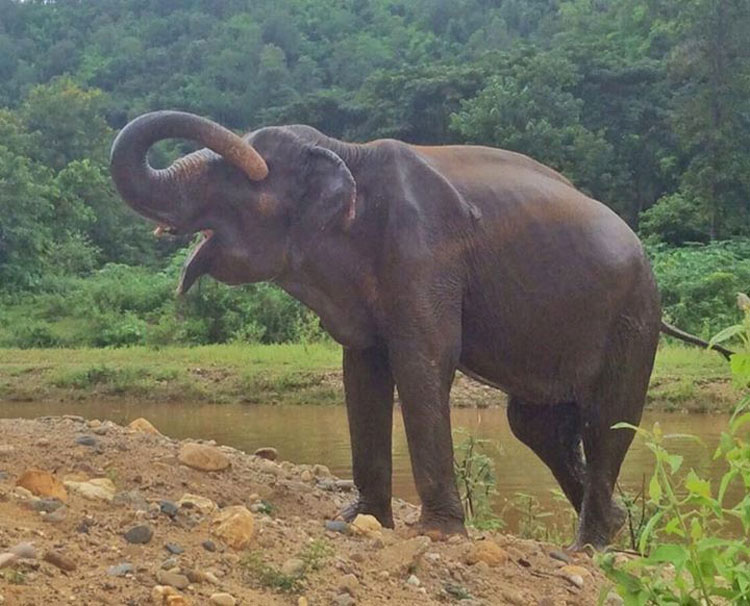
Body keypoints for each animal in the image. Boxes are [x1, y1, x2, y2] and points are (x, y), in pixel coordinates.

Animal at [108, 110, 732, 552]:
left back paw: (590, 549)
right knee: (536, 426)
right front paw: (357, 522)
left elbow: (422, 363)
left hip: (634, 316)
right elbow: (362, 369)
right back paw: (617, 530)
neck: (345, 150)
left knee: (607, 418)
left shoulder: (424, 254)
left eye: (239, 179)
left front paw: (437, 536)